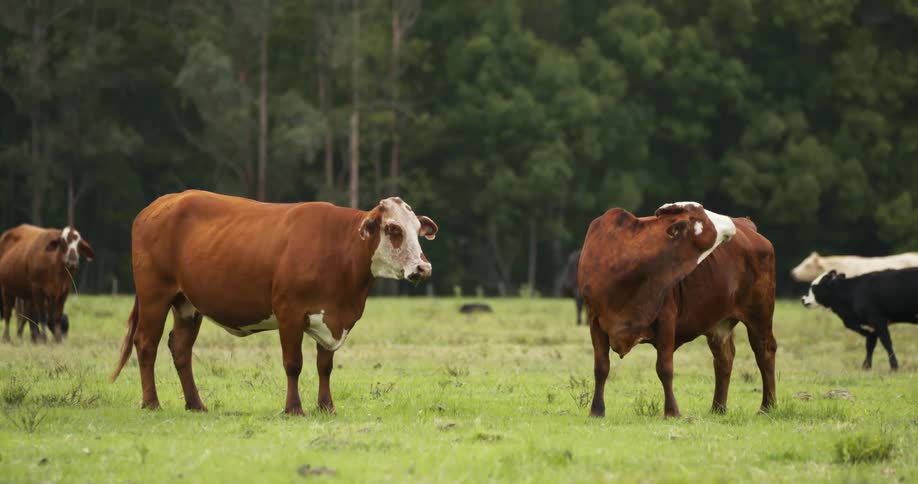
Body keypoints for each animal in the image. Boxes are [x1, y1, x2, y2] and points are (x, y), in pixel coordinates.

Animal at [110, 190, 438, 415]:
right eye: (393, 229)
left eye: (417, 231)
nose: (423, 267)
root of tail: (162, 202)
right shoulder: (289, 312)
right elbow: (294, 364)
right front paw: (294, 408)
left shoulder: (331, 318)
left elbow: (325, 366)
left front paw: (326, 406)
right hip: (155, 294)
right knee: (147, 344)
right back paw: (151, 402)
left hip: (187, 304)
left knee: (180, 348)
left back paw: (196, 404)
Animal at [579, 202, 777, 418]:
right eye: (702, 217)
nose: (730, 222)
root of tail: (749, 227)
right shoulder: (595, 320)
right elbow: (601, 367)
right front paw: (597, 410)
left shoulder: (666, 319)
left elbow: (664, 368)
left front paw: (672, 411)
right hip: (719, 323)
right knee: (724, 358)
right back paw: (718, 408)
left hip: (759, 314)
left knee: (765, 351)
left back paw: (768, 406)